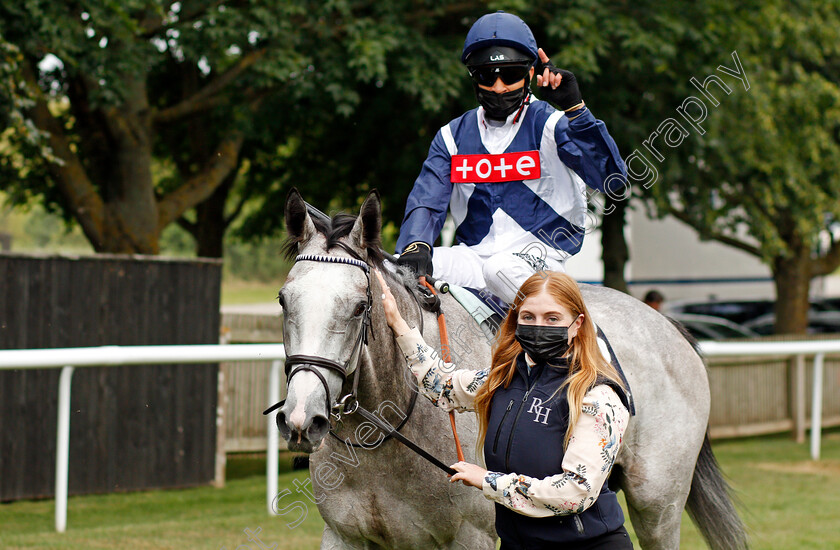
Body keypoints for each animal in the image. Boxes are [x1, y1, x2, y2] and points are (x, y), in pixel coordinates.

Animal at [274, 191, 748, 550]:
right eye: (283, 300)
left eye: (358, 307)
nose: (301, 419)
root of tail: (667, 324)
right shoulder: (344, 537)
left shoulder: (472, 539)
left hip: (658, 507)